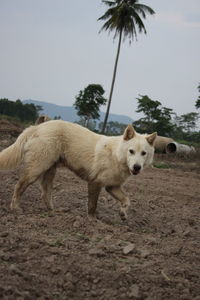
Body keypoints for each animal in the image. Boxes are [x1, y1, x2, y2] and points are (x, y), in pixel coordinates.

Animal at [0, 120, 156, 220]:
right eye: (131, 151)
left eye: (144, 153)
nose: (137, 167)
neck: (117, 155)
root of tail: (37, 127)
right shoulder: (95, 182)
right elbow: (92, 205)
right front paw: (92, 221)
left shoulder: (112, 187)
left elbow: (127, 200)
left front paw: (123, 214)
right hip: (37, 168)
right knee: (19, 185)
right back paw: (15, 208)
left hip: (50, 170)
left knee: (45, 193)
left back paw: (53, 211)